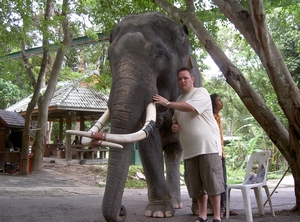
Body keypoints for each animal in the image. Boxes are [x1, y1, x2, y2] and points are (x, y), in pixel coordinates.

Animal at [66, 11, 202, 220]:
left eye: (159, 54)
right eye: (109, 58)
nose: (122, 211)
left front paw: (160, 213)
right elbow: (147, 141)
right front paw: (158, 212)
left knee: (175, 150)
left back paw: (178, 203)